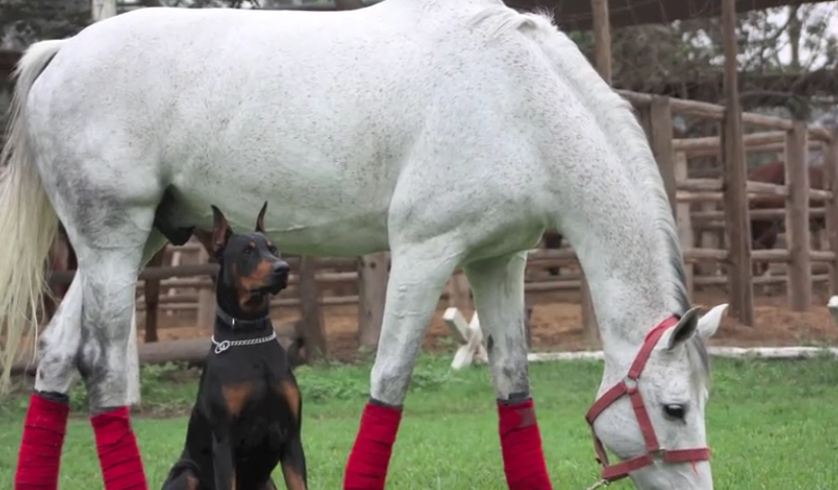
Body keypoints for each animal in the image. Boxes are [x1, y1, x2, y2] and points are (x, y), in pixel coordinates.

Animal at [162, 204, 306, 490]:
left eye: (274, 249)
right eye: (247, 251)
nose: (283, 268)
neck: (251, 335)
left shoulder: (292, 438)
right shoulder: (224, 441)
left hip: (267, 483)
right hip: (188, 472)